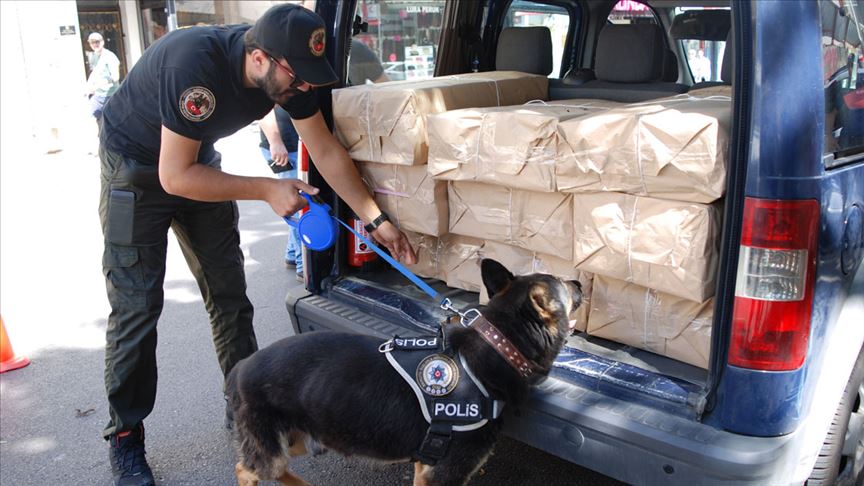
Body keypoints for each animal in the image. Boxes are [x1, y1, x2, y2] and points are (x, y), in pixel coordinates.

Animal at [226, 258, 584, 486]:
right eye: (564, 286)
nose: (580, 281)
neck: (498, 343)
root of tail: (241, 367)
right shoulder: (444, 475)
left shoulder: (425, 468)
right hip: (275, 448)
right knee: (245, 469)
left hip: (302, 437)